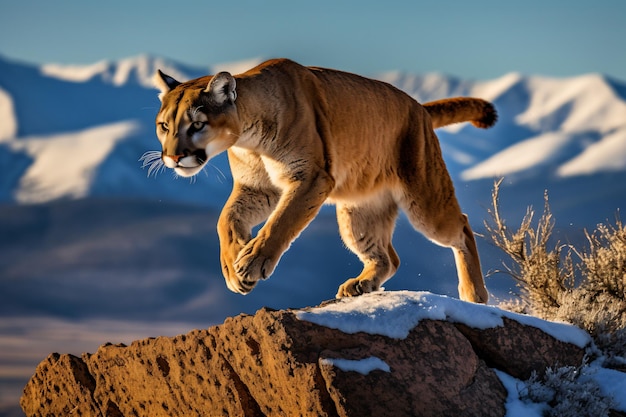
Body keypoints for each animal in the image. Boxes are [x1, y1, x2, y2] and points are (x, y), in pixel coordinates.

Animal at [149, 57, 494, 302]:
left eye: (197, 124)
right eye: (164, 125)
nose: (172, 157)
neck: (250, 138)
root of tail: (419, 107)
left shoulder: (311, 177)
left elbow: (282, 221)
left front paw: (252, 262)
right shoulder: (256, 188)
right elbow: (226, 219)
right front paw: (233, 266)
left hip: (424, 200)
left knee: (462, 227)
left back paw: (473, 294)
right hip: (358, 211)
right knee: (390, 258)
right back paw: (361, 284)